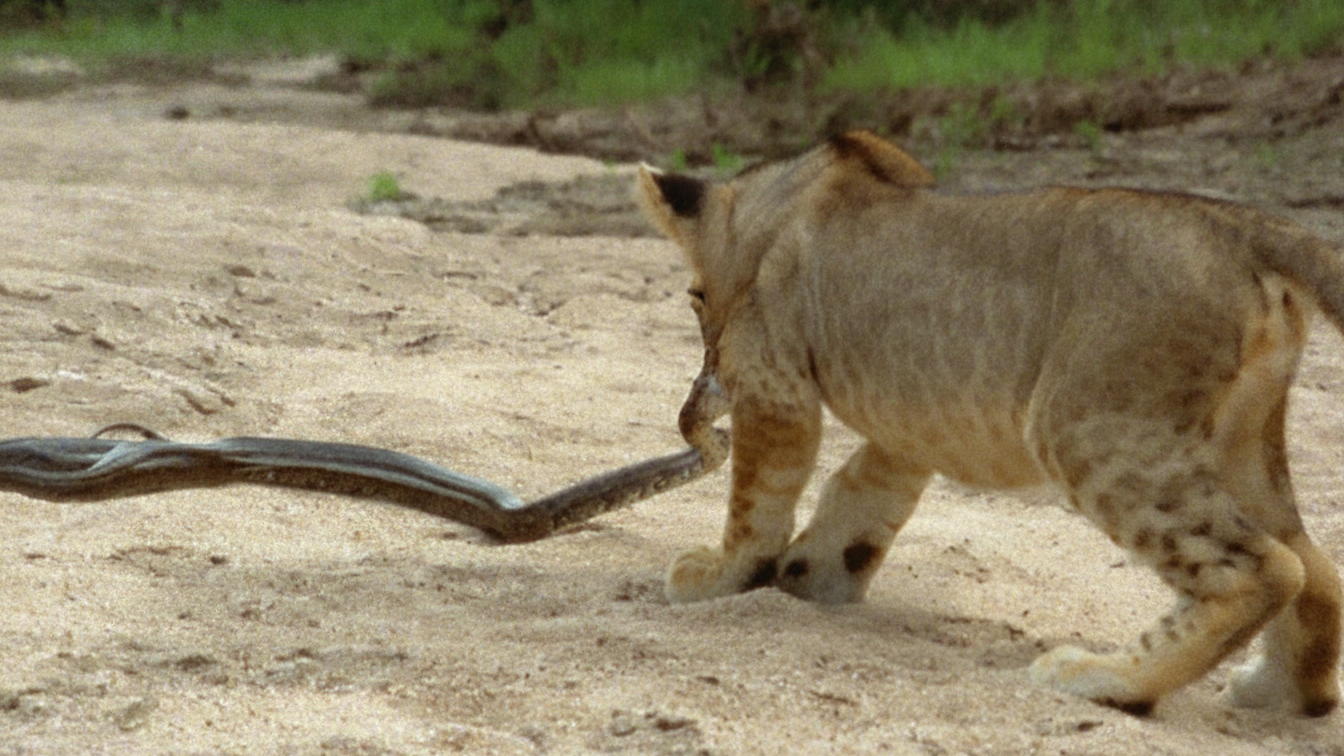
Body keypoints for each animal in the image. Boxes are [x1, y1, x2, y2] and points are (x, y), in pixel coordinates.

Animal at [635, 130, 1343, 717]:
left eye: (693, 296)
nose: (706, 380)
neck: (781, 199)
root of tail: (1241, 226)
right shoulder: (916, 420)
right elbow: (861, 491)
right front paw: (816, 573)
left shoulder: (772, 385)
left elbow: (758, 501)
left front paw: (719, 576)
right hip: (1236, 440)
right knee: (1316, 568)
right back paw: (1280, 693)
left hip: (1085, 426)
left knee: (1262, 569)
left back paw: (1104, 678)